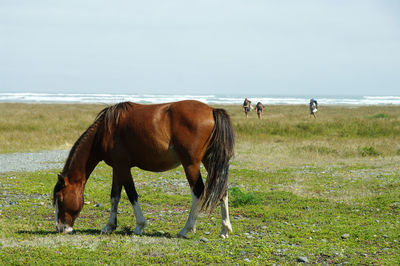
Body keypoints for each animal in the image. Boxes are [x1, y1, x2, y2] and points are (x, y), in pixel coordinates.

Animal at [52, 101, 234, 238]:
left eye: (60, 198)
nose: (60, 228)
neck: (105, 131)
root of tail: (212, 111)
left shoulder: (123, 167)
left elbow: (132, 194)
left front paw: (139, 226)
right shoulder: (117, 168)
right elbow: (114, 196)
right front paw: (109, 226)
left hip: (190, 164)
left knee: (198, 191)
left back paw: (186, 229)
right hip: (209, 161)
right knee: (222, 190)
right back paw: (224, 229)